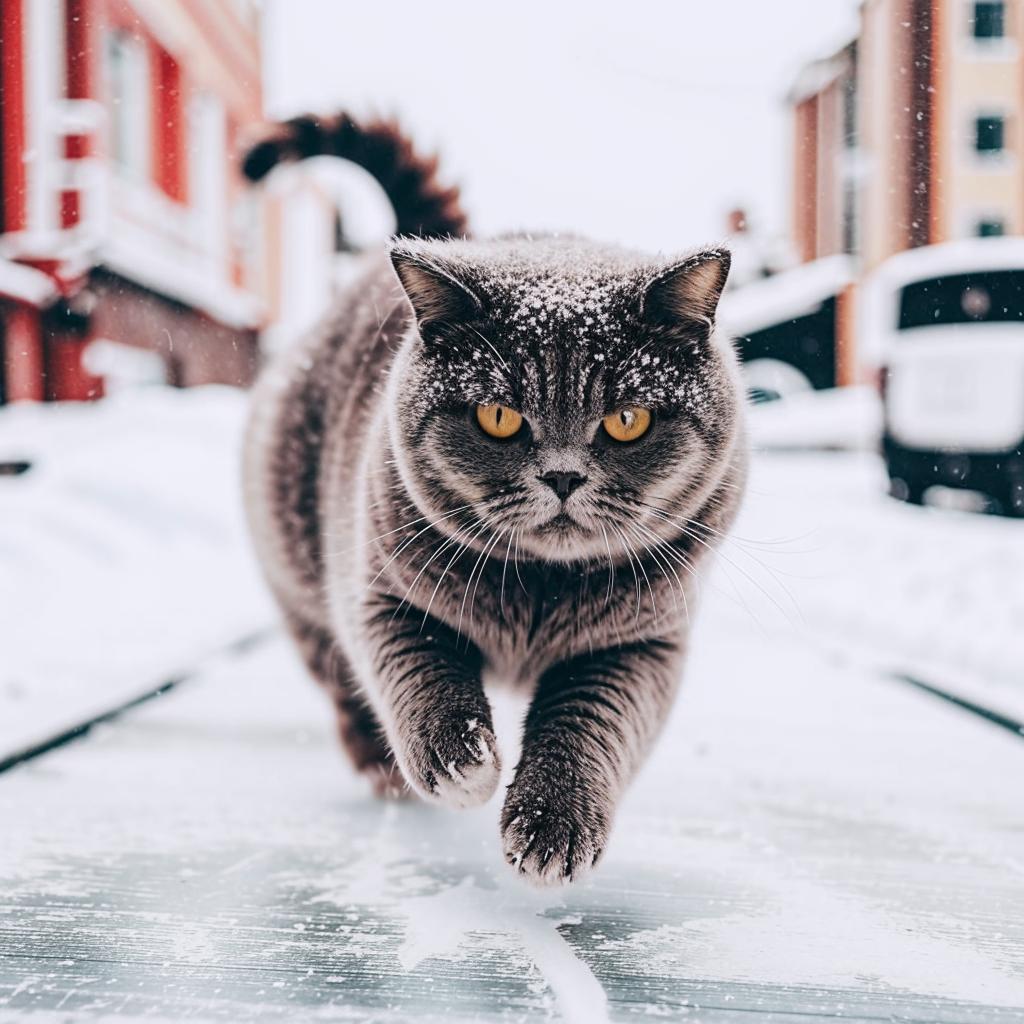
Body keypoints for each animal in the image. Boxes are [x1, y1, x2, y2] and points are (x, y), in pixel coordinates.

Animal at [243, 110, 749, 880]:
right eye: (499, 416)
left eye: (627, 419)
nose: (564, 476)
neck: (538, 591)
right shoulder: (384, 595)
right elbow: (422, 678)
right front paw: (461, 763)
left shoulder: (641, 644)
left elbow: (590, 724)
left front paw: (552, 826)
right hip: (298, 572)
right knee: (339, 677)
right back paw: (381, 767)